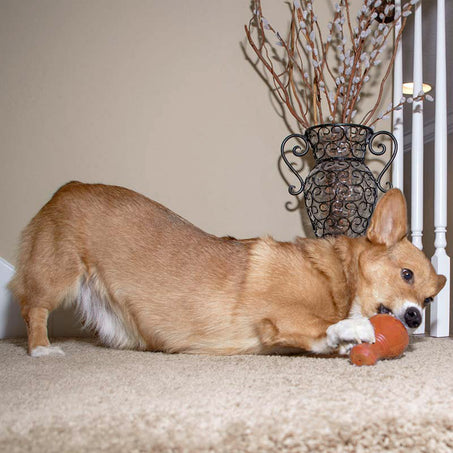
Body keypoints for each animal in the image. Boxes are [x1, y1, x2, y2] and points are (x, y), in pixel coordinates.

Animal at [8, 181, 444, 356]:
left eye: (429, 299)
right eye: (405, 274)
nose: (415, 318)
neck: (339, 277)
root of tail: (67, 188)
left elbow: (322, 337)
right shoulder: (279, 316)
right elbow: (327, 324)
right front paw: (355, 329)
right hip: (58, 275)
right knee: (33, 309)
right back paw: (42, 349)